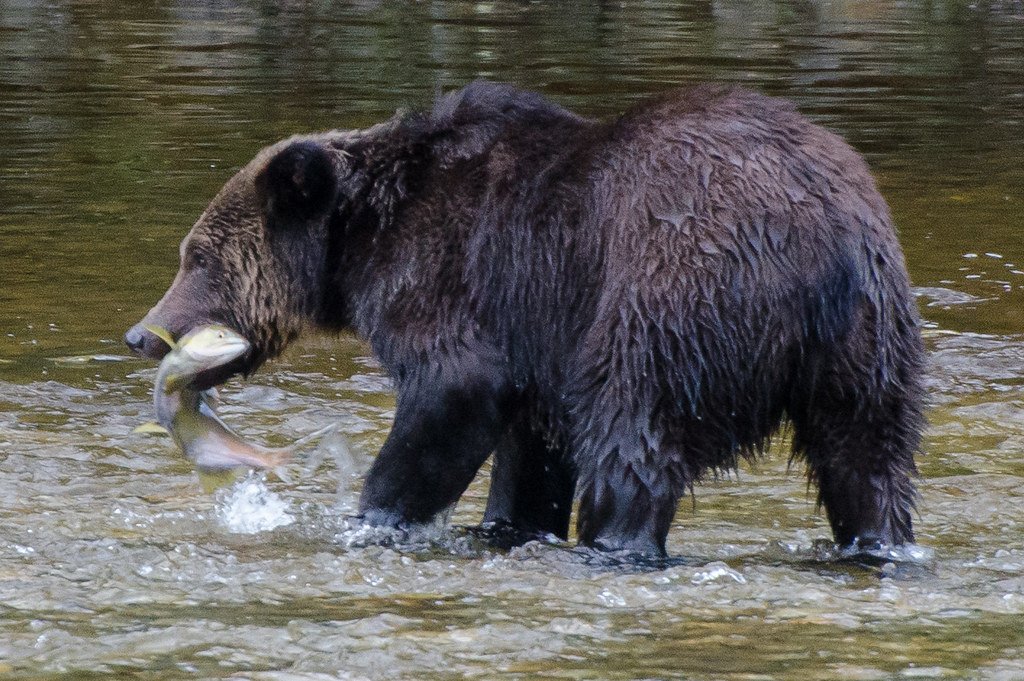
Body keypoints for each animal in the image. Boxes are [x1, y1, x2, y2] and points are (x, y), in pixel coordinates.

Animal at [128, 80, 929, 557]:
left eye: (199, 257)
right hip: (868, 338)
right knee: (867, 457)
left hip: (673, 293)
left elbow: (452, 393)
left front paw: (373, 516)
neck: (360, 241)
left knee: (633, 435)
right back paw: (879, 542)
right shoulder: (536, 336)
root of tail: (816, 243)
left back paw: (614, 543)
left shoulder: (457, 278)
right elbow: (531, 450)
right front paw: (508, 522)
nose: (141, 333)